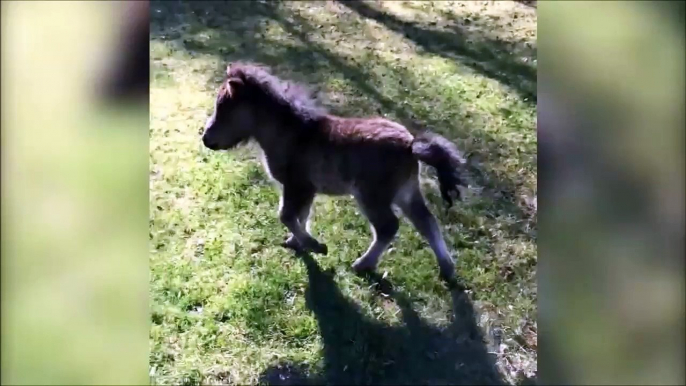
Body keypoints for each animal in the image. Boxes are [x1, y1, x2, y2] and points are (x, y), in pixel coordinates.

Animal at [202, 63, 470, 284]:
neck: (292, 133)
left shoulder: (297, 186)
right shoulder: (306, 190)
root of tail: (410, 144)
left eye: (224, 108)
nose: (205, 139)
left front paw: (316, 246)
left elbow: (286, 215)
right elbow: (301, 216)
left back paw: (363, 264)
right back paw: (447, 269)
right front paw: (296, 243)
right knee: (427, 222)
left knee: (389, 227)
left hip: (372, 197)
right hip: (406, 193)